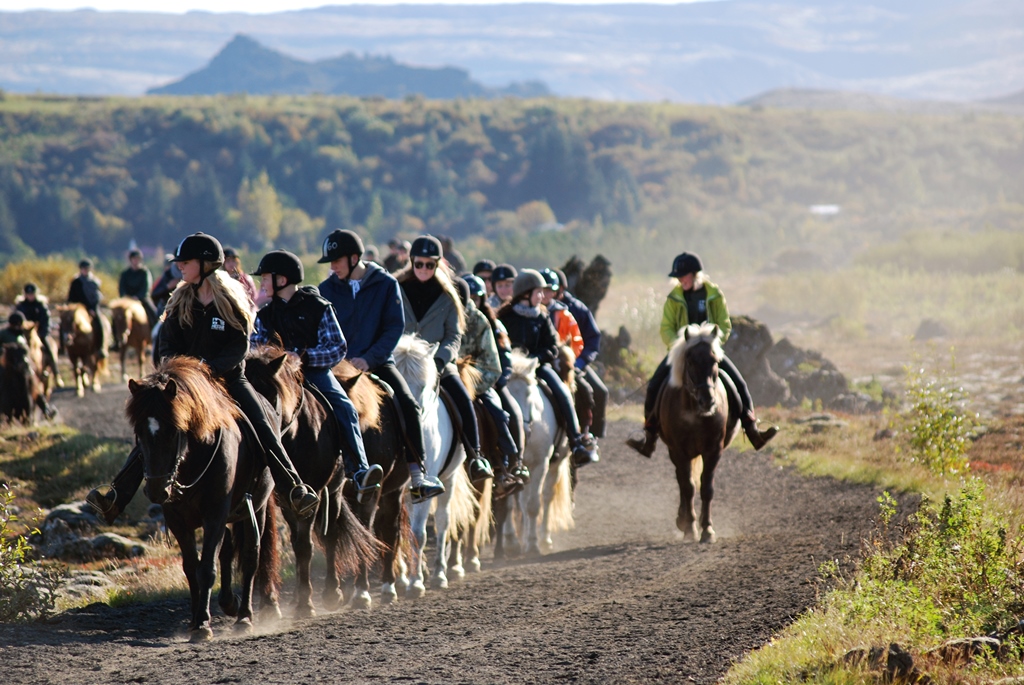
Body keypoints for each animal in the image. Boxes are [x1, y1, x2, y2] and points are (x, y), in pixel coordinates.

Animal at [126, 356, 280, 638]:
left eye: (173, 430)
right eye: (139, 432)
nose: (156, 489)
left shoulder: (215, 514)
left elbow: (206, 568)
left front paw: (203, 624)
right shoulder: (177, 520)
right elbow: (191, 567)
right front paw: (195, 619)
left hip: (257, 508)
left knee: (251, 555)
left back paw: (244, 616)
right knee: (228, 549)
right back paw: (230, 603)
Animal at [243, 348, 385, 614]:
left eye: (271, 393)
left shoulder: (315, 493)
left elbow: (307, 546)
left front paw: (308, 603)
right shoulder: (289, 500)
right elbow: (298, 544)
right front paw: (301, 598)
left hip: (335, 488)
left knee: (331, 536)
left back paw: (332, 591)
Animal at [497, 350, 577, 557]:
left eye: (529, 394)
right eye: (504, 396)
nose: (523, 432)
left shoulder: (541, 464)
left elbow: (533, 505)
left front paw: (532, 544)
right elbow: (510, 504)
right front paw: (512, 542)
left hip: (556, 464)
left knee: (546, 497)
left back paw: (544, 539)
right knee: (521, 501)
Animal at [659, 323, 741, 540]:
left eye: (715, 361)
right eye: (690, 361)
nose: (708, 401)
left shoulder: (713, 450)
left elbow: (707, 488)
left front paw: (707, 529)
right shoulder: (679, 451)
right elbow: (688, 487)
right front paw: (690, 528)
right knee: (682, 481)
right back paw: (683, 519)